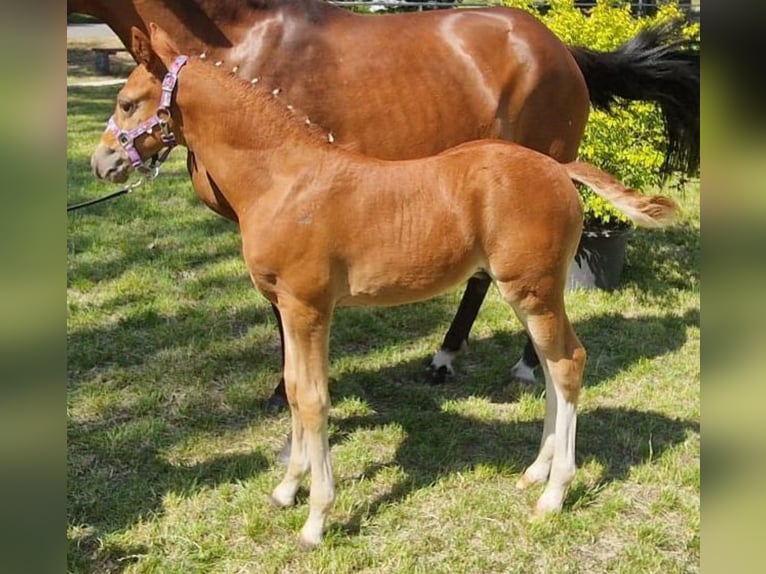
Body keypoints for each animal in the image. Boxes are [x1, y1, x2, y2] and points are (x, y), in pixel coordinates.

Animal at [74, 0, 700, 408]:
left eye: (127, 104)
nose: (101, 164)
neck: (243, 40)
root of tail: (560, 46)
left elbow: (283, 316)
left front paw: (283, 393)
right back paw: (449, 360)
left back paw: (512, 364)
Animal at [91, 24, 678, 547]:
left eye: (127, 103)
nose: (102, 162)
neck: (284, 179)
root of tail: (558, 166)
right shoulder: (290, 308)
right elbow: (294, 390)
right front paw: (286, 490)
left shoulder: (307, 307)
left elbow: (312, 399)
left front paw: (316, 520)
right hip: (530, 292)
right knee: (554, 369)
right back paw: (535, 472)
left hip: (532, 290)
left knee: (568, 364)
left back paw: (553, 495)